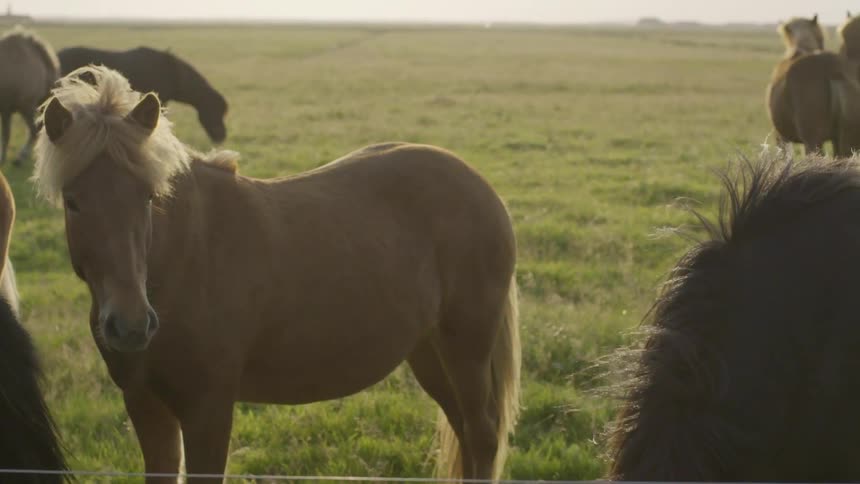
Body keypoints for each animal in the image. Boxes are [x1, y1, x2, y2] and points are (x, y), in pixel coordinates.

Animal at [33, 65, 521, 483]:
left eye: (149, 197)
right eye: (73, 201)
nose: (131, 325)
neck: (181, 265)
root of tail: (482, 188)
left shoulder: (208, 408)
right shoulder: (145, 404)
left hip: (467, 348)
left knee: (482, 434)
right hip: (429, 351)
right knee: (465, 430)